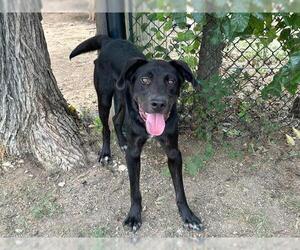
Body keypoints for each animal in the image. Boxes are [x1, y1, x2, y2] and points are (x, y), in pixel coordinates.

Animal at [69, 34, 203, 231]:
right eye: (145, 80)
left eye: (171, 81)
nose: (158, 103)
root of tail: (109, 40)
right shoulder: (133, 155)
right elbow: (134, 190)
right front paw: (134, 216)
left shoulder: (174, 153)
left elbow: (180, 189)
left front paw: (188, 215)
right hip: (104, 97)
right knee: (105, 126)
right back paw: (106, 153)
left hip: (123, 99)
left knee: (116, 119)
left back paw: (122, 141)